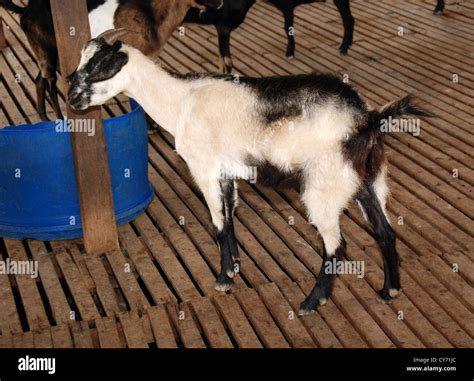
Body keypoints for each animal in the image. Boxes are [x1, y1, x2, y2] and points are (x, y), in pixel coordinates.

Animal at [0, 0, 223, 120]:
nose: (220, 2)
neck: (150, 14)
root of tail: (25, 11)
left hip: (43, 53)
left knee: (39, 80)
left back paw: (44, 116)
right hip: (47, 51)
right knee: (49, 82)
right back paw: (60, 118)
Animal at [66, 29, 434, 314]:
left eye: (100, 68)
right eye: (82, 62)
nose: (71, 98)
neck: (180, 101)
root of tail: (367, 119)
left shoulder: (205, 168)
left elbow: (217, 224)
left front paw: (223, 279)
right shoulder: (228, 173)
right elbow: (229, 220)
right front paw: (234, 269)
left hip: (325, 187)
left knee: (336, 246)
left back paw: (311, 303)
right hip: (369, 181)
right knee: (385, 232)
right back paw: (389, 291)